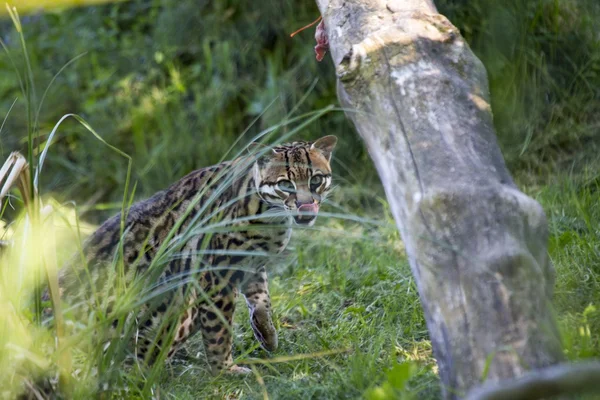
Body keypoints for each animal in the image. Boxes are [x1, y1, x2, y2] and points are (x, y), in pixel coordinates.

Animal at [48, 137, 338, 376]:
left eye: (315, 180)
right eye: (285, 184)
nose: (305, 205)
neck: (269, 216)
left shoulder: (250, 265)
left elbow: (262, 301)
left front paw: (267, 334)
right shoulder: (216, 277)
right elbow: (219, 330)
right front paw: (225, 370)